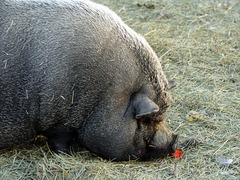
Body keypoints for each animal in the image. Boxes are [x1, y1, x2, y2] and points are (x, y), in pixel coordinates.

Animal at [0, 0, 178, 160]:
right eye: (146, 119)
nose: (174, 141)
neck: (103, 95)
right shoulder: (59, 119)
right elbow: (60, 141)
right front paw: (68, 154)